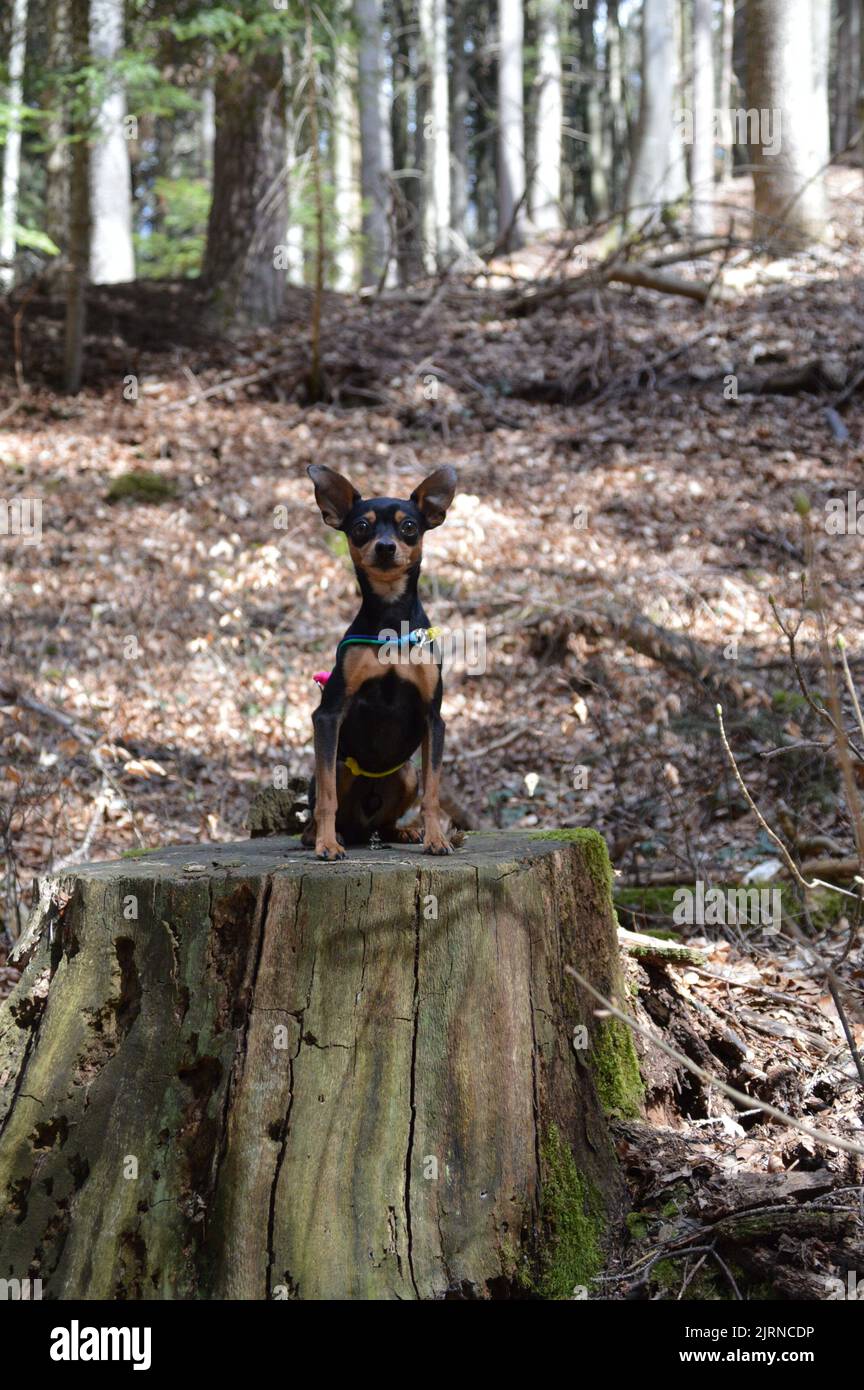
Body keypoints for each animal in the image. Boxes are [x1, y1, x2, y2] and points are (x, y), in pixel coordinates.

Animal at [302, 464, 458, 856]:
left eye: (409, 527)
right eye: (361, 527)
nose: (386, 547)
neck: (390, 617)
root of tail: (362, 829)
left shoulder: (433, 718)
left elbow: (432, 794)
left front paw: (436, 838)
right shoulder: (328, 716)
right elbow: (326, 798)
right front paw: (326, 845)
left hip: (406, 773)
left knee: (387, 820)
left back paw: (402, 832)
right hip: (340, 763)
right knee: (326, 798)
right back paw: (322, 835)